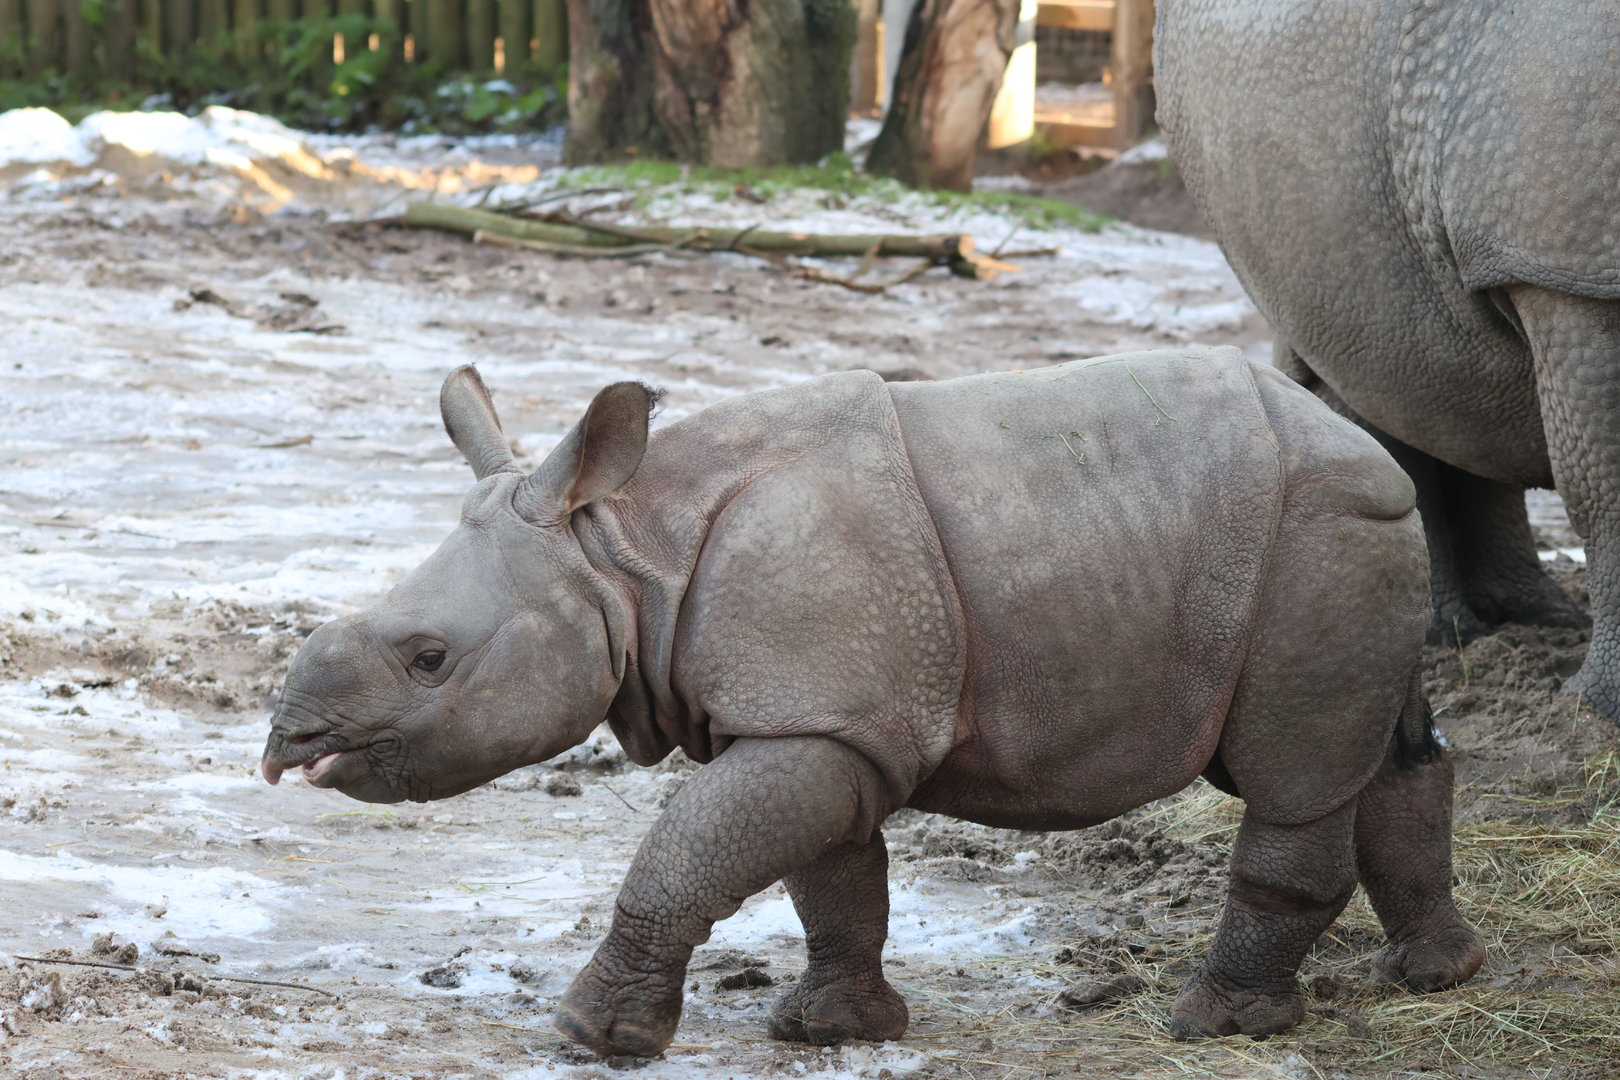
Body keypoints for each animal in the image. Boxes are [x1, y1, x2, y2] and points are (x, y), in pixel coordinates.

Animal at [260, 350, 1483, 1055]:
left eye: (428, 659)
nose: (283, 745)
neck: (621, 552)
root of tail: (1365, 445)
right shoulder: (825, 719)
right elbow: (829, 876)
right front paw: (828, 1031)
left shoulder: (817, 712)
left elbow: (689, 849)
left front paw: (591, 1036)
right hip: (1348, 525)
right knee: (1389, 748)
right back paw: (1433, 975)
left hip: (1316, 528)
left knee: (1293, 773)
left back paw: (1215, 1025)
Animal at [1156, 0, 1620, 718]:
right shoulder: (1570, 270)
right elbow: (1609, 486)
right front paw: (1598, 712)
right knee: (1371, 370)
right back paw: (1444, 634)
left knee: (1453, 380)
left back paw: (1533, 619)